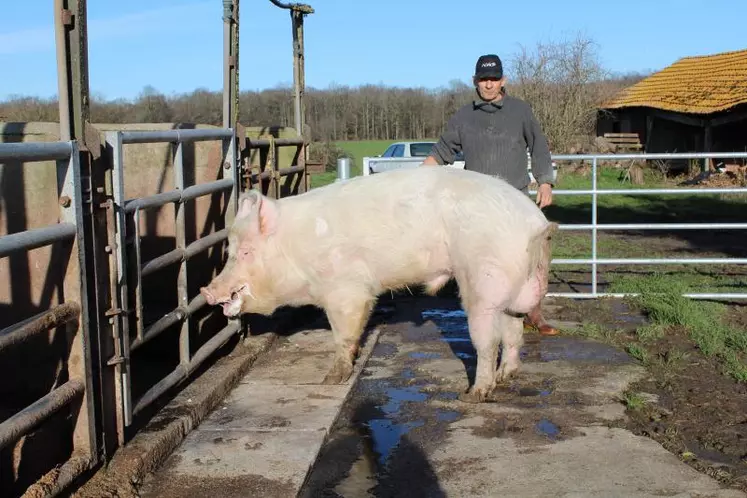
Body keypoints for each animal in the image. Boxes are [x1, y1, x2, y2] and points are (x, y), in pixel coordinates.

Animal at [199, 165, 556, 402]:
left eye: (247, 251)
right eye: (229, 250)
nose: (207, 290)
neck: (296, 249)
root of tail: (535, 223)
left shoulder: (346, 289)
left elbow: (344, 334)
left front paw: (330, 380)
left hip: (482, 282)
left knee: (488, 341)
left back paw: (474, 393)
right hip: (513, 287)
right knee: (514, 332)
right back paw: (506, 375)